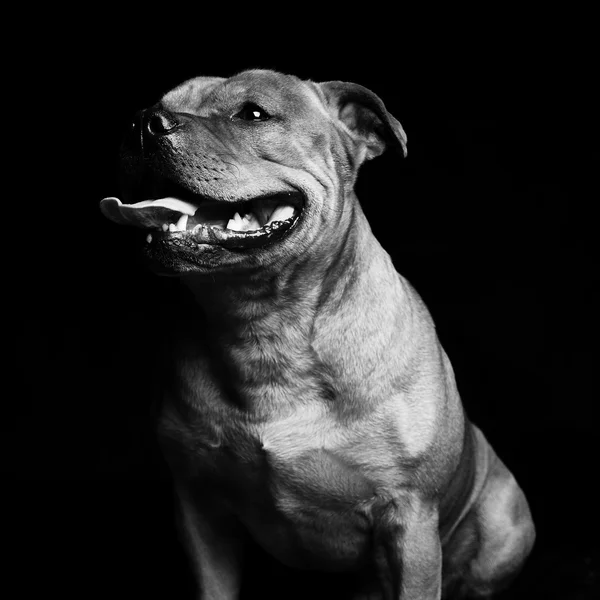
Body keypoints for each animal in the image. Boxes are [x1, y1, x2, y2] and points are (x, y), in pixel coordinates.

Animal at [98, 71, 536, 600]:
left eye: (253, 114)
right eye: (159, 104)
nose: (144, 122)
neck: (265, 327)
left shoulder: (410, 521)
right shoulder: (200, 511)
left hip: (505, 525)